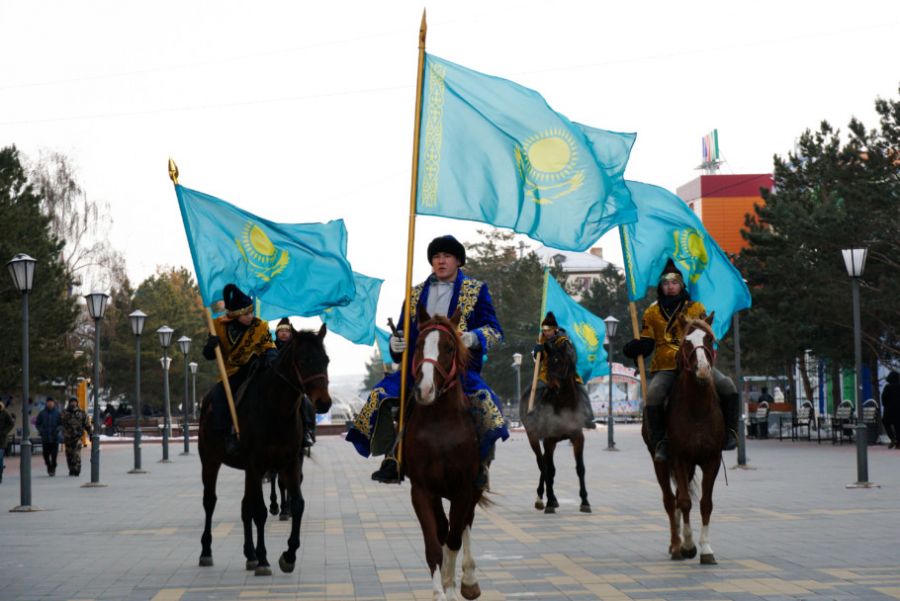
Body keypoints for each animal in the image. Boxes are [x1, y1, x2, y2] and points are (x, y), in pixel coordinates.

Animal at [198, 324, 331, 575]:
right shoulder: (256, 463)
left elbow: (298, 504)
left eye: (326, 360)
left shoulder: (289, 462)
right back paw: (207, 552)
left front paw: (288, 556)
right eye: (302, 361)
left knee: (245, 506)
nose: (324, 403)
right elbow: (259, 511)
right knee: (210, 502)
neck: (277, 409)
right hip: (210, 459)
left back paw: (249, 554)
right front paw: (263, 559)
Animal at [405, 305, 487, 601]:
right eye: (418, 344)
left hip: (474, 488)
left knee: (464, 525)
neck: (440, 425)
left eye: (450, 348)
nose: (425, 390)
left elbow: (453, 539)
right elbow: (434, 544)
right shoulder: (422, 490)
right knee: (443, 527)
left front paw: (452, 585)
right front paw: (440, 591)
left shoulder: (464, 488)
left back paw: (469, 580)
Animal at [522, 337, 591, 514]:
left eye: (562, 362)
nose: (553, 388)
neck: (564, 404)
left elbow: (580, 468)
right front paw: (550, 502)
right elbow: (550, 470)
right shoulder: (549, 439)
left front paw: (585, 501)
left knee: (544, 463)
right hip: (532, 436)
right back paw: (543, 499)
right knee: (542, 463)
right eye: (548, 363)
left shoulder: (578, 437)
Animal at [643, 313, 724, 564]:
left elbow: (705, 503)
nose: (703, 369)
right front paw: (688, 546)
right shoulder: (678, 458)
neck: (697, 409)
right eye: (686, 341)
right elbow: (685, 502)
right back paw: (676, 545)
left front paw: (706, 549)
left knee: (679, 495)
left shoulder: (711, 459)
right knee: (671, 500)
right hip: (660, 461)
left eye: (709, 339)